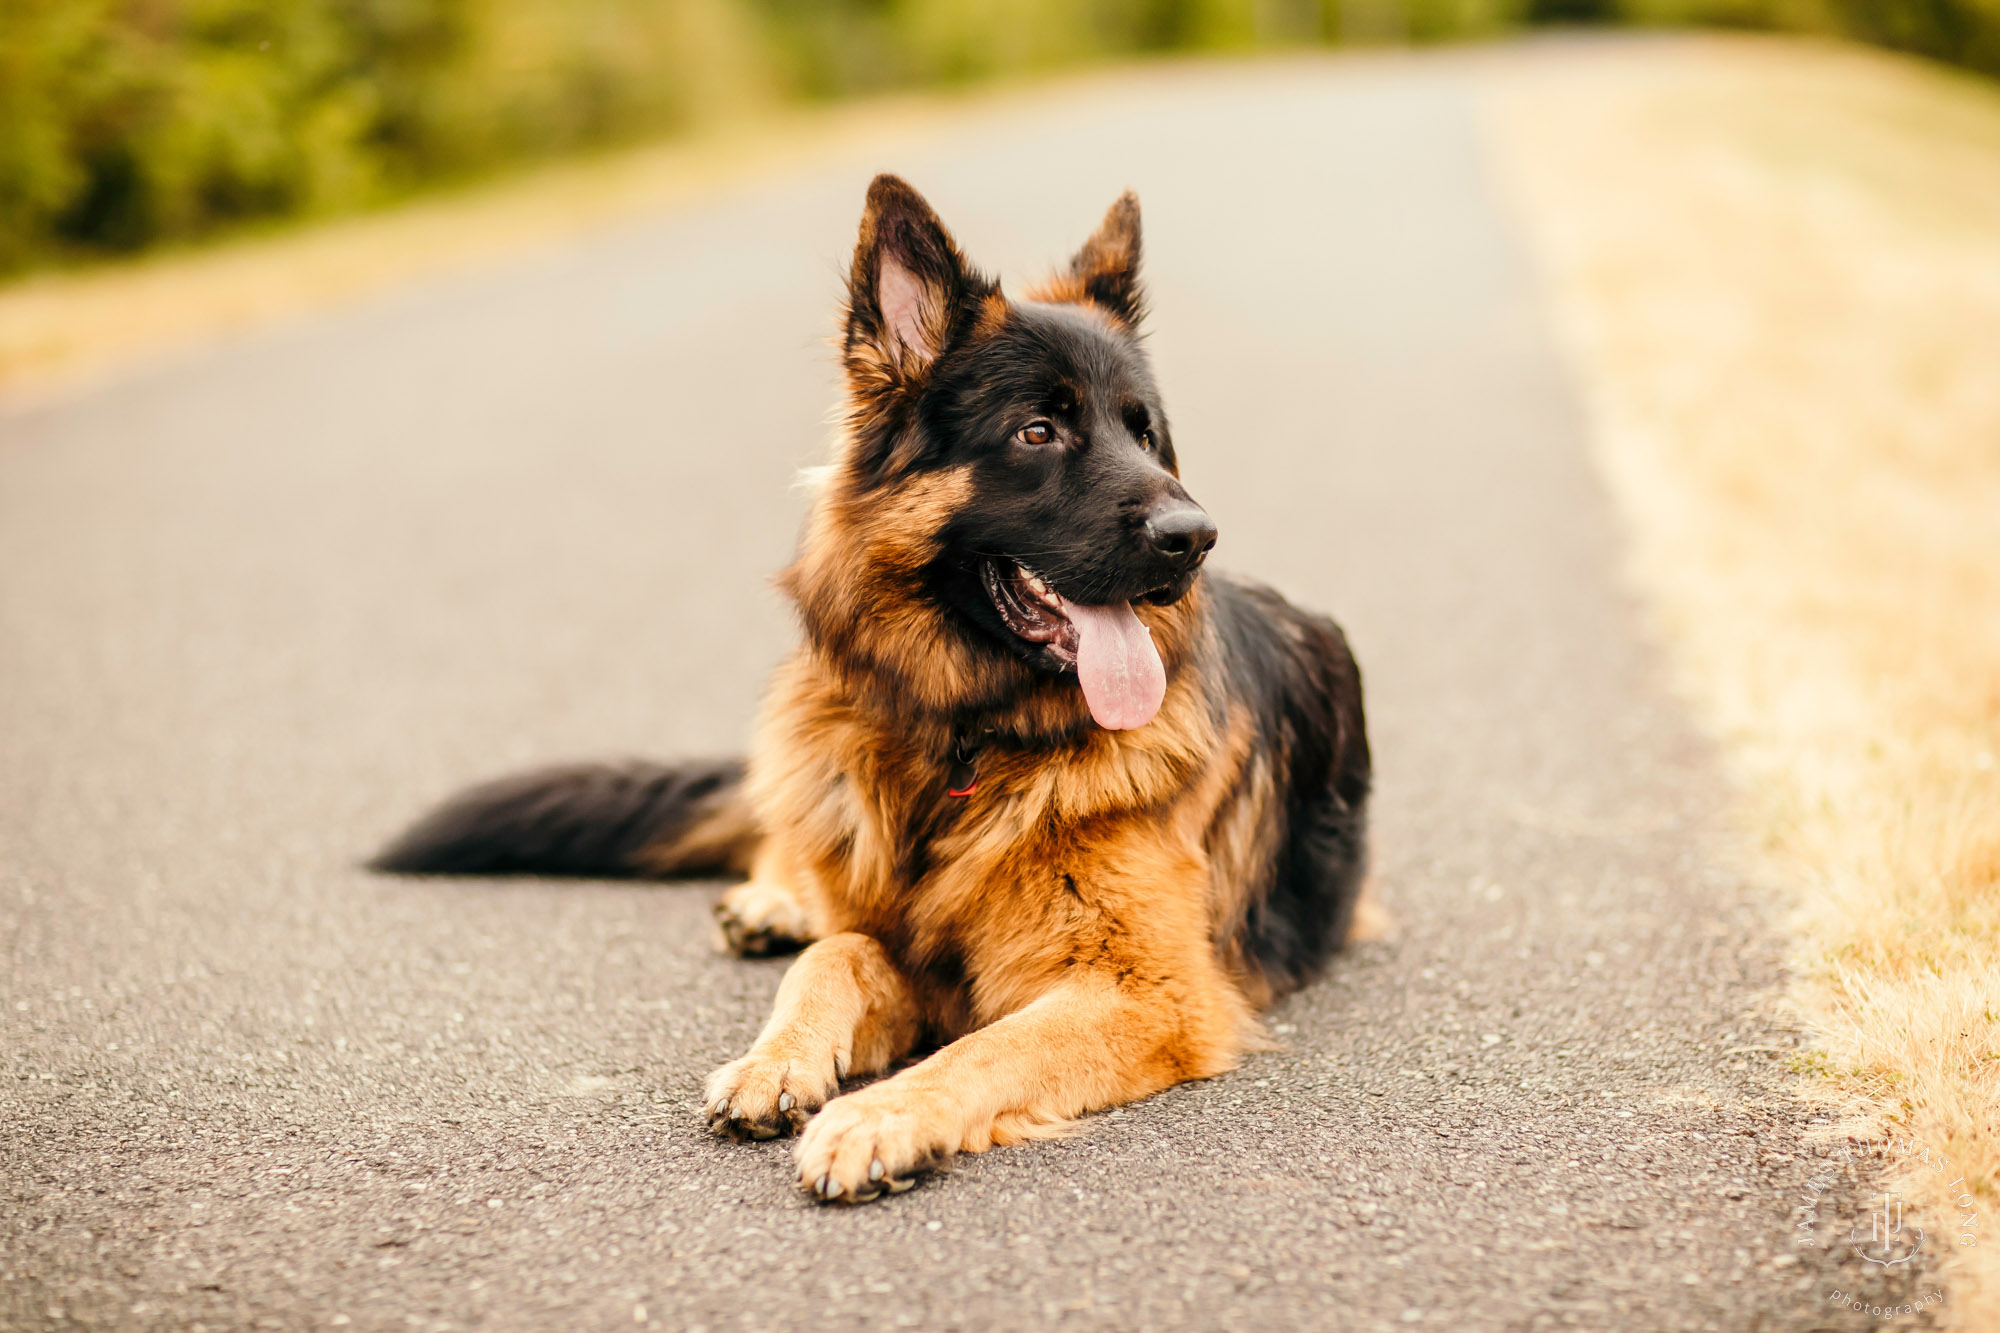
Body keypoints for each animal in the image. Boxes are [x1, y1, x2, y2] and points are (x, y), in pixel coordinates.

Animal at [372, 171, 1376, 1200]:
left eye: (1146, 435)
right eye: (1038, 430)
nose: (1195, 535)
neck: (968, 742)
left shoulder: (1150, 994)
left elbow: (982, 1047)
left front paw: (876, 1116)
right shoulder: (904, 944)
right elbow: (837, 950)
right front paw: (775, 1059)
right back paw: (770, 902)